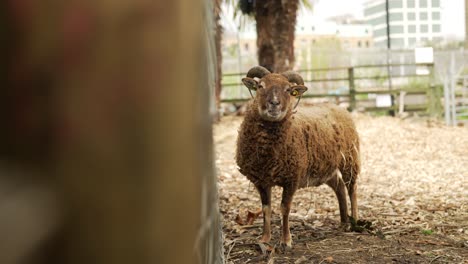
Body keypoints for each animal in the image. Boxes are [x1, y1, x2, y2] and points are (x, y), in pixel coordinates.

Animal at [236, 65, 360, 248]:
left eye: (288, 89)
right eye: (260, 86)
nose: (274, 104)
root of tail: (339, 107)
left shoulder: (292, 178)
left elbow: (285, 208)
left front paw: (286, 240)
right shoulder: (261, 180)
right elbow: (266, 209)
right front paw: (264, 239)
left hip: (350, 160)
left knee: (352, 189)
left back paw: (355, 221)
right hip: (326, 167)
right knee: (339, 186)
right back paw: (344, 222)